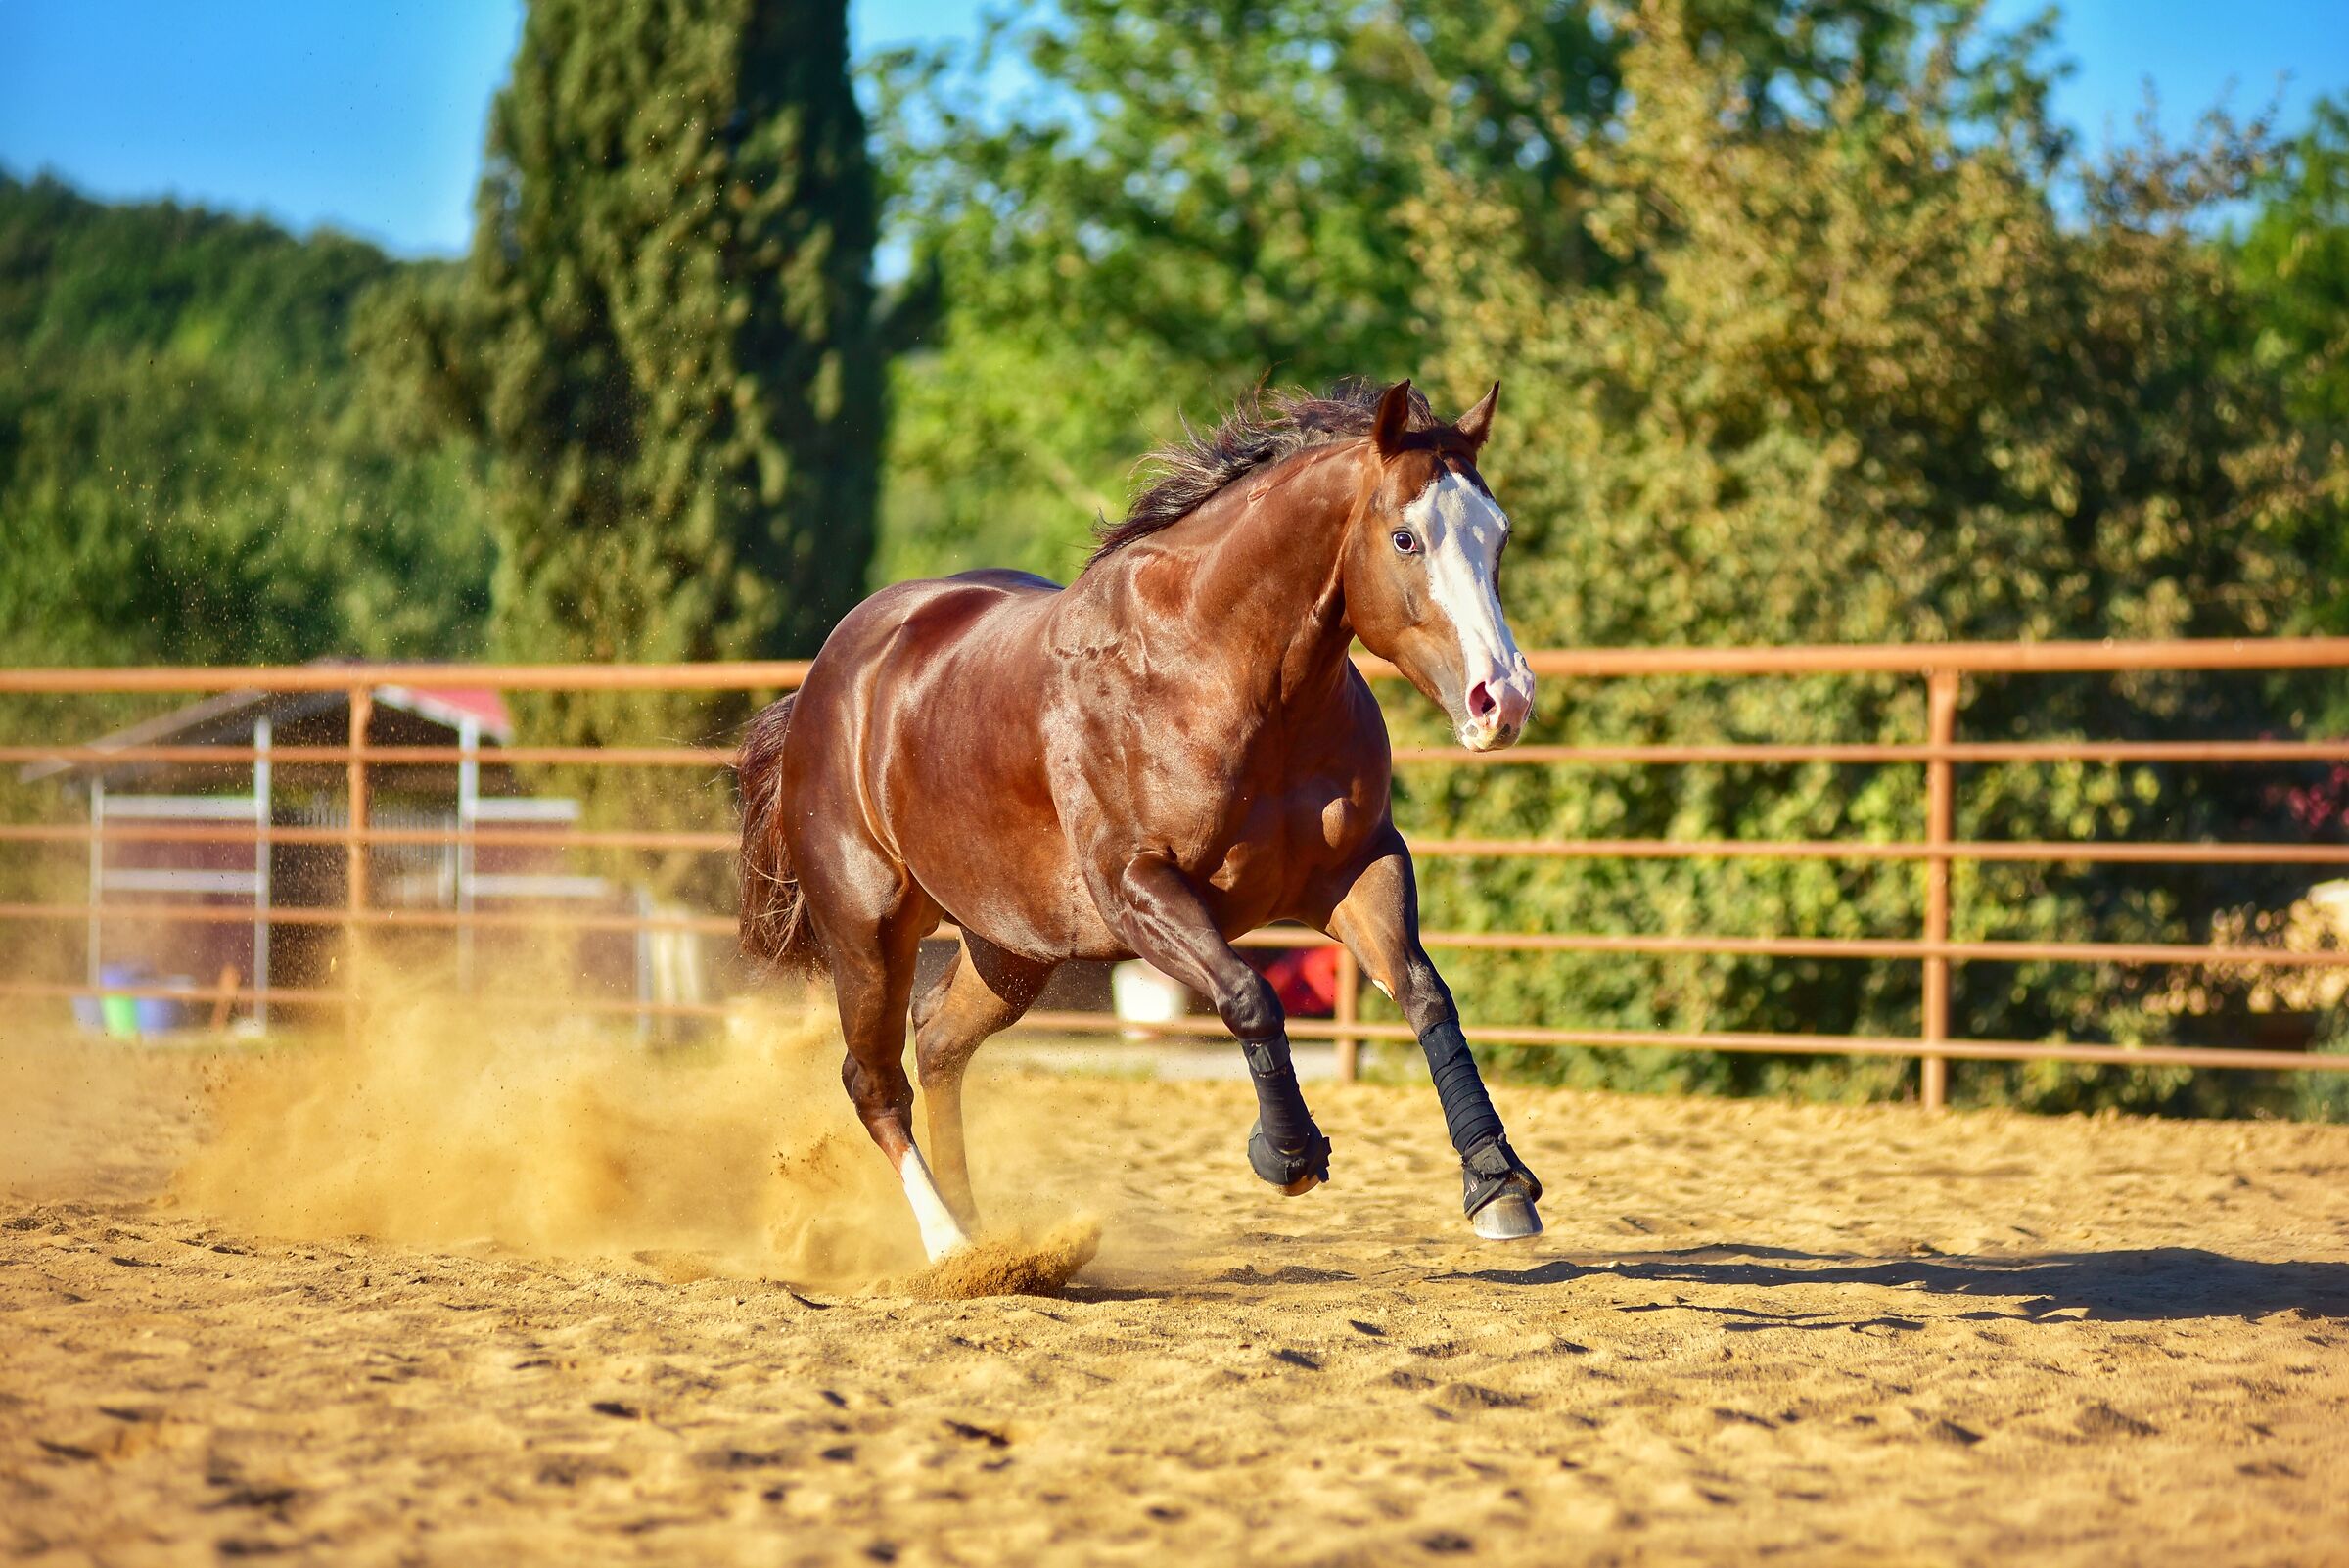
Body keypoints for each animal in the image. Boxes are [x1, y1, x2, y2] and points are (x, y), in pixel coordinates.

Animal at [737, 377, 1545, 1261]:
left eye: (1498, 536)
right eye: (1405, 537)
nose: (1503, 700)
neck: (1221, 676)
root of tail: (824, 681)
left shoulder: (1357, 868)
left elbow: (1427, 996)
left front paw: (1498, 1184)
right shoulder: (1138, 889)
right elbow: (1251, 995)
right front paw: (1288, 1154)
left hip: (1009, 947)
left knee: (940, 1042)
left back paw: (994, 1244)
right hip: (867, 929)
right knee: (874, 1081)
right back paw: (950, 1248)